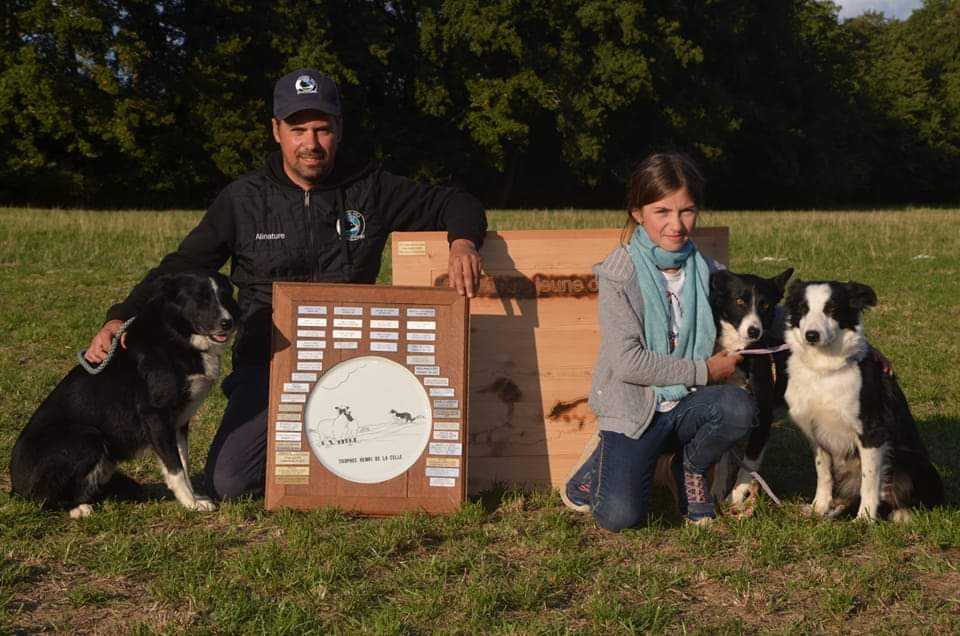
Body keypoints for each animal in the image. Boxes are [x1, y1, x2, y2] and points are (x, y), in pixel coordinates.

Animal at [9, 271, 238, 518]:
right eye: (201, 300)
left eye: (225, 296)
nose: (228, 322)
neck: (176, 335)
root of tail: (15, 486)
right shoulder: (156, 416)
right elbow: (175, 468)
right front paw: (190, 504)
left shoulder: (179, 421)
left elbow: (182, 463)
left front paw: (194, 498)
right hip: (86, 437)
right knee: (44, 498)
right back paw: (77, 509)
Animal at [709, 268, 793, 506]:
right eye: (740, 301)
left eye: (765, 305)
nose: (754, 331)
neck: (740, 352)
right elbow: (723, 458)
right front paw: (718, 490)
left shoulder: (763, 417)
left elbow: (750, 462)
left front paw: (736, 494)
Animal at [783, 279, 944, 521]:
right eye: (803, 309)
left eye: (832, 309)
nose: (811, 335)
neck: (824, 369)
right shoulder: (815, 432)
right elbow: (823, 474)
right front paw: (819, 508)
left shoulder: (872, 433)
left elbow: (869, 481)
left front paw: (864, 519)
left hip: (908, 462)